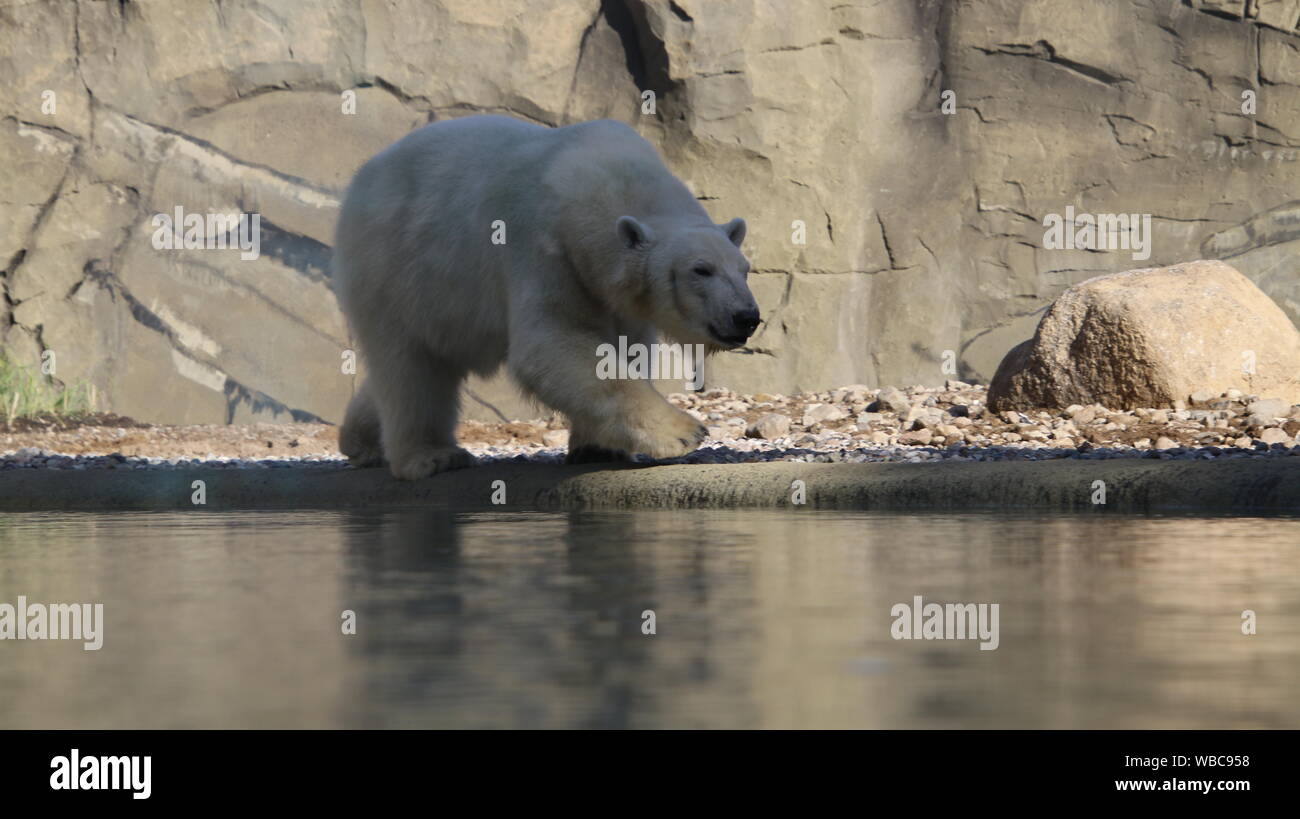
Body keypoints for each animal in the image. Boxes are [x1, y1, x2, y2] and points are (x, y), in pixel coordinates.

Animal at [335, 112, 759, 478]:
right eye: (700, 270)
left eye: (744, 269)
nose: (746, 316)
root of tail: (362, 178)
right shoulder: (543, 249)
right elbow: (553, 344)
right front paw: (684, 432)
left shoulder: (610, 290)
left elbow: (625, 346)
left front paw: (596, 448)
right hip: (391, 266)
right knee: (408, 366)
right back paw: (431, 456)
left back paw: (360, 440)